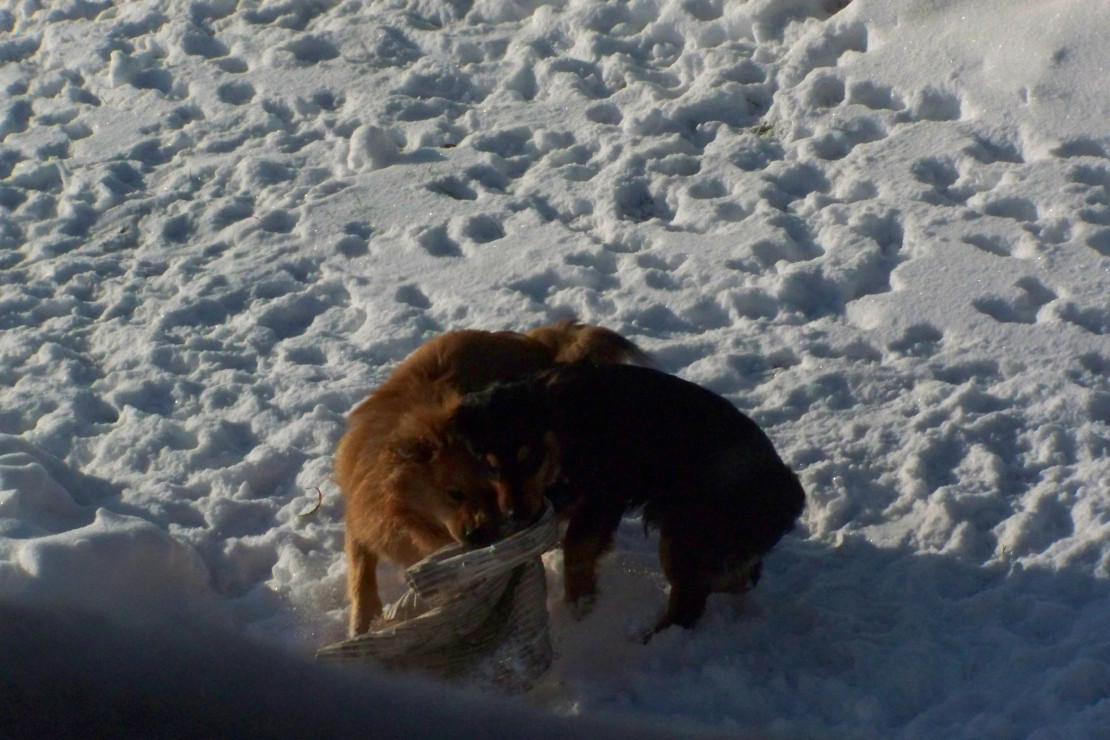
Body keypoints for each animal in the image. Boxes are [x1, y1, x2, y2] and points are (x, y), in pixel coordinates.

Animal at [333, 319, 648, 639]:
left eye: (491, 493)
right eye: (454, 493)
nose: (477, 535)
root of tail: (539, 343)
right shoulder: (364, 516)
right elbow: (361, 573)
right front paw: (361, 624)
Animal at [448, 363, 808, 639]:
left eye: (530, 459)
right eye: (491, 466)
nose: (516, 514)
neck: (565, 425)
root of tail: (791, 492)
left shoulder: (604, 496)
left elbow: (576, 549)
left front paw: (581, 605)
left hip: (684, 535)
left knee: (688, 606)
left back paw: (649, 643)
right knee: (737, 579)